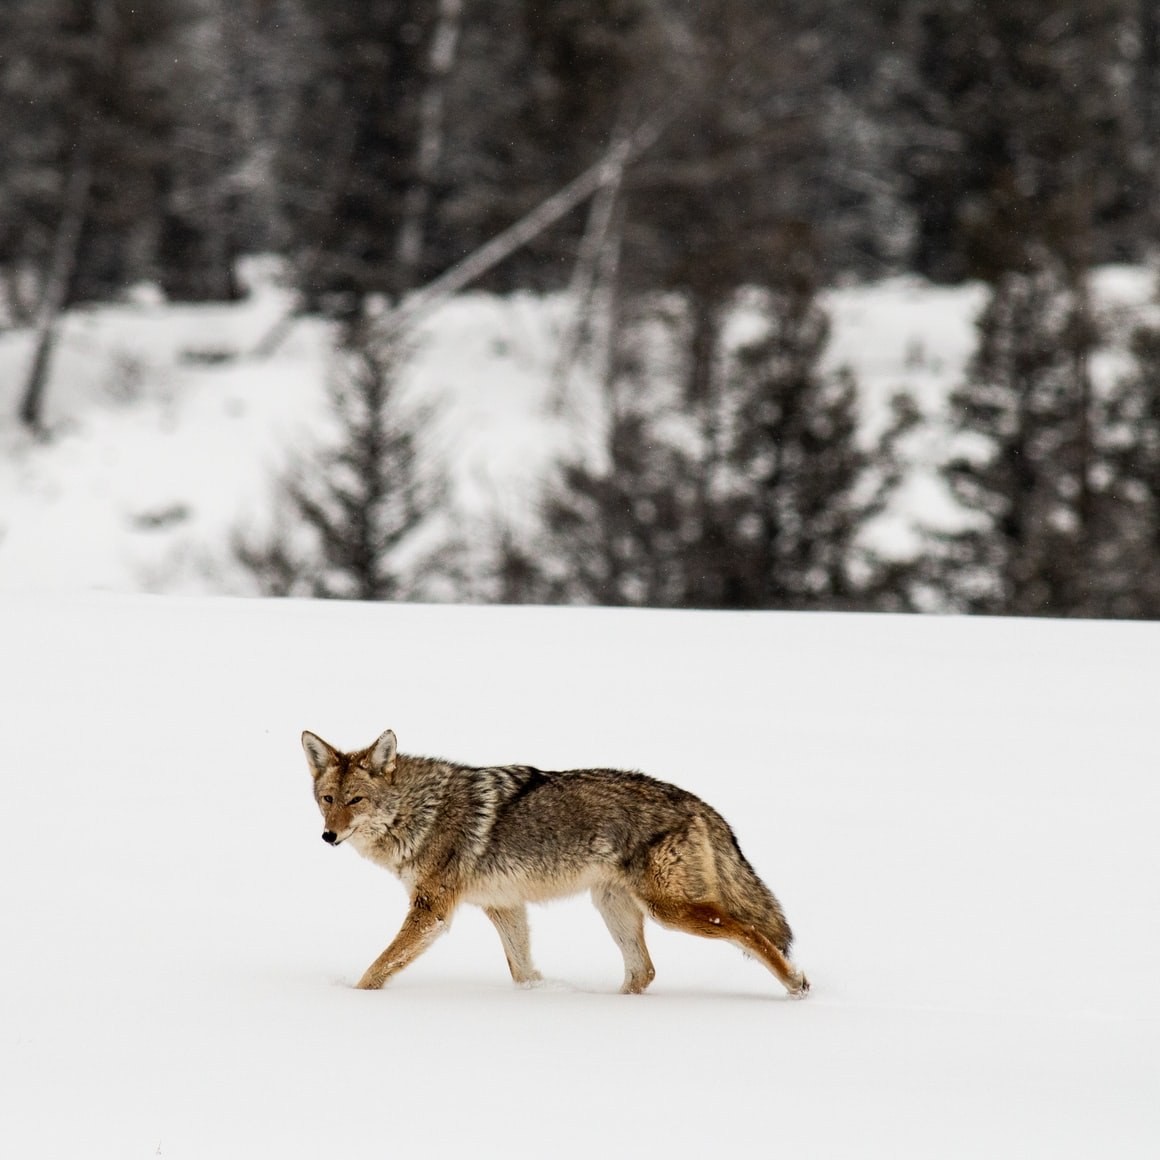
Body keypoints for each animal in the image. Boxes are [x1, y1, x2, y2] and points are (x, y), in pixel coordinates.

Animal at [301, 728, 809, 996]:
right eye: (327, 800)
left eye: (356, 800)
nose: (328, 836)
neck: (420, 810)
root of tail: (700, 804)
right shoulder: (504, 906)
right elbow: (523, 970)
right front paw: (539, 999)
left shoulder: (433, 911)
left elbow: (378, 968)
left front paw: (353, 998)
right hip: (613, 907)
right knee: (644, 970)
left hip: (668, 910)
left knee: (750, 932)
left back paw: (795, 983)